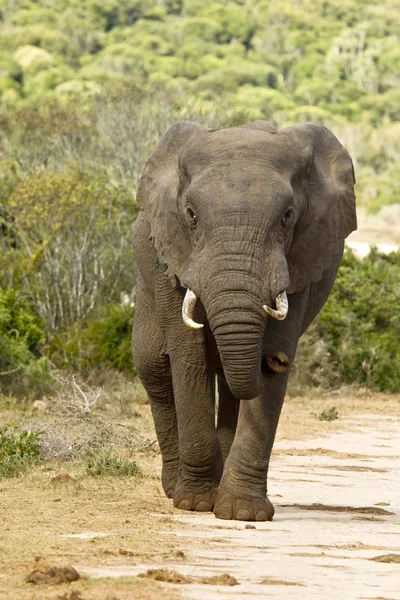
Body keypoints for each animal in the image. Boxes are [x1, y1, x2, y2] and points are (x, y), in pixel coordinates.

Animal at [132, 120, 356, 520]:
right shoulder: (170, 258)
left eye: (287, 216)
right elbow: (188, 357)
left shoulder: (300, 261)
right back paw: (175, 487)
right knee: (154, 365)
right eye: (190, 214)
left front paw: (242, 513)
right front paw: (195, 503)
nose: (276, 361)